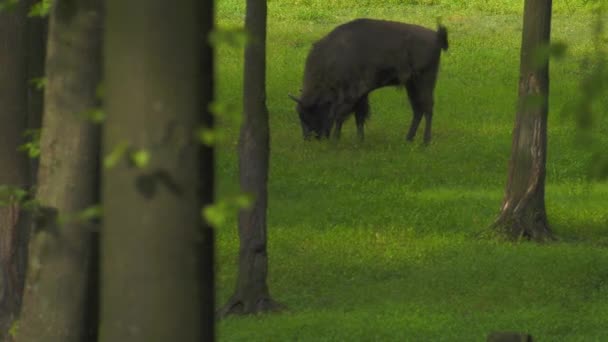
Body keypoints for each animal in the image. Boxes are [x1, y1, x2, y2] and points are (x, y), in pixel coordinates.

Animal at [290, 18, 446, 144]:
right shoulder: (361, 96)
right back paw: (408, 139)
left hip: (424, 81)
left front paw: (336, 139)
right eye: (300, 116)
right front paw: (360, 140)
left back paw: (425, 142)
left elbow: (341, 116)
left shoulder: (351, 95)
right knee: (418, 109)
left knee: (427, 108)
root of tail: (436, 36)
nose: (309, 139)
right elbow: (359, 116)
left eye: (313, 112)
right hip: (412, 84)